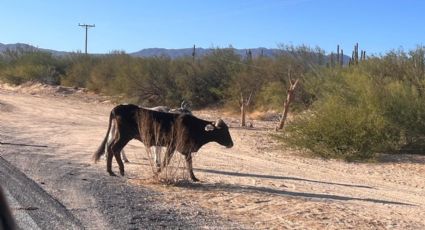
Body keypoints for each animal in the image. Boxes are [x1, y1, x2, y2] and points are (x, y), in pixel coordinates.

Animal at [93, 104, 234, 181]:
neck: (194, 126)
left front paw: (194, 178)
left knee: (110, 148)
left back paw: (111, 170)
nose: (231, 144)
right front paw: (156, 173)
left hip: (118, 135)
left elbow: (189, 164)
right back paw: (118, 170)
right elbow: (166, 161)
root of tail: (118, 107)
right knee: (114, 149)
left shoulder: (186, 150)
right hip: (124, 136)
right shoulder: (172, 147)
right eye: (222, 131)